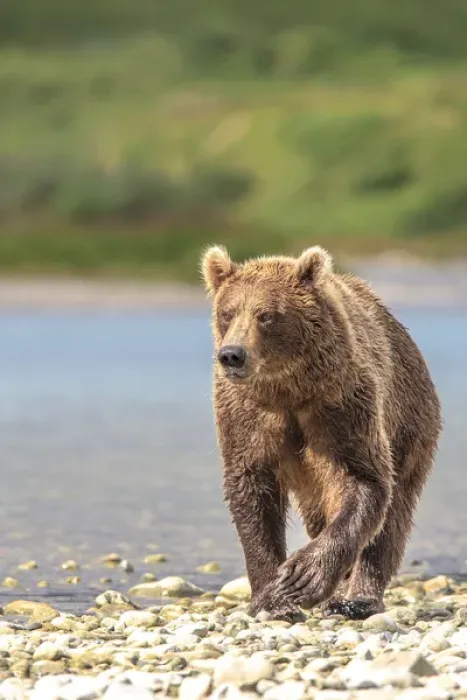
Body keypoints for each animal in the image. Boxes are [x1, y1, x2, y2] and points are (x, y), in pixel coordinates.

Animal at [201, 244, 442, 621]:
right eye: (228, 312)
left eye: (266, 315)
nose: (232, 355)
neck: (288, 390)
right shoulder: (247, 415)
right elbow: (252, 490)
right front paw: (273, 598)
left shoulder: (341, 405)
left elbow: (364, 480)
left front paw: (304, 576)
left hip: (410, 423)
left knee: (394, 514)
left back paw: (357, 599)